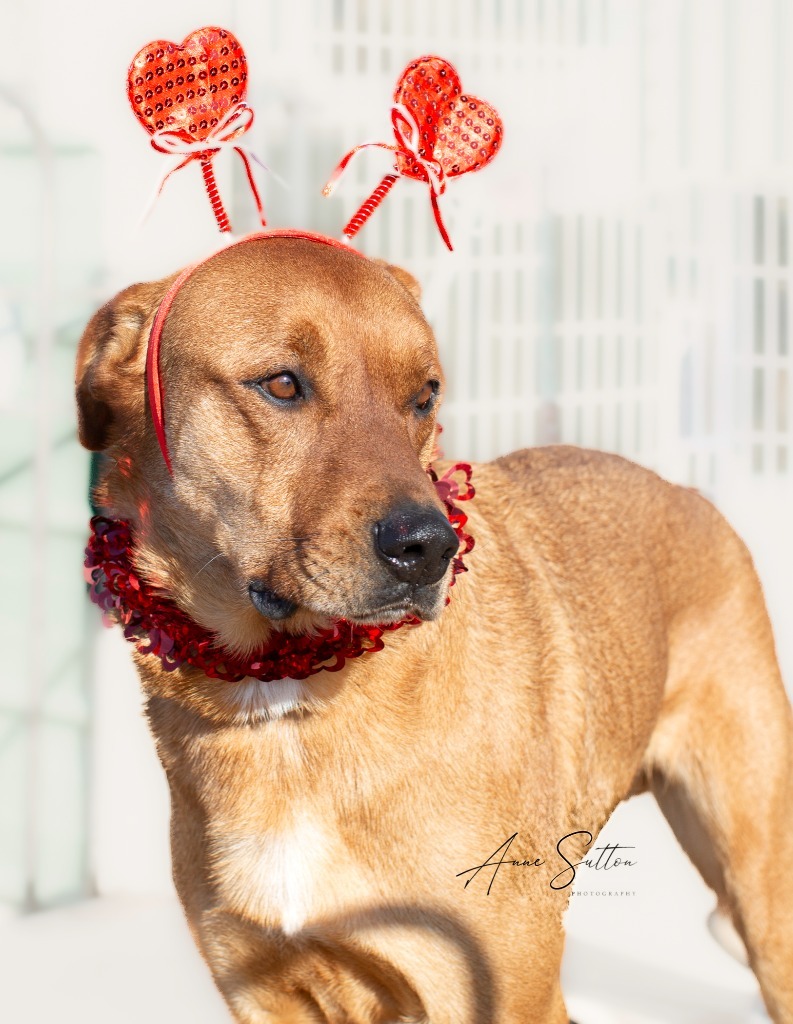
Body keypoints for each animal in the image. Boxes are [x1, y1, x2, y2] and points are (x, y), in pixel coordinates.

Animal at [76, 235, 793, 1019]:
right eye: (283, 385)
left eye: (423, 397)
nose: (429, 549)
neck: (285, 698)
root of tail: (690, 492)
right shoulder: (261, 985)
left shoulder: (503, 989)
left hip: (764, 889)